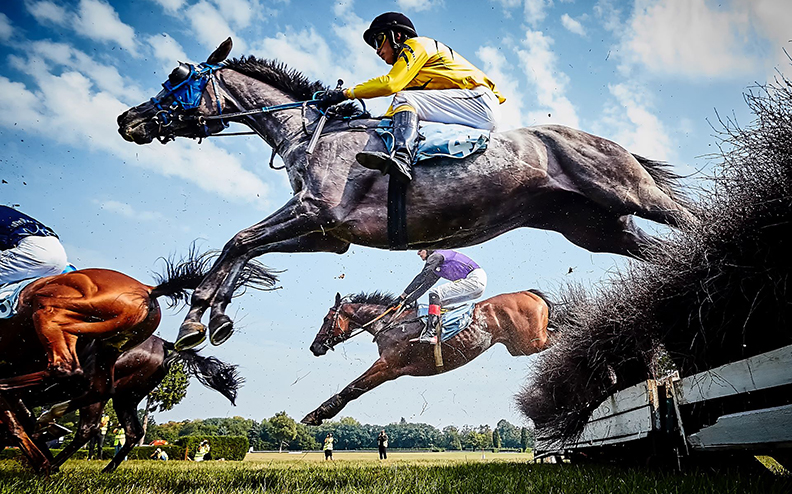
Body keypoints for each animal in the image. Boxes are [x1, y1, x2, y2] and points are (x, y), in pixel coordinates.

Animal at [37, 335, 242, 473]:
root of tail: (164, 345)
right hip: (126, 396)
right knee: (131, 431)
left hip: (111, 391)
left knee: (89, 426)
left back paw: (50, 461)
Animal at [117, 37, 696, 351]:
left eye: (176, 79)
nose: (127, 120)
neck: (311, 132)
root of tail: (605, 140)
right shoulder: (327, 234)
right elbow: (242, 247)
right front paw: (214, 317)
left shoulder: (314, 211)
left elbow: (239, 241)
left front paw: (197, 316)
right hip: (594, 228)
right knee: (657, 248)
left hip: (630, 194)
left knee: (688, 218)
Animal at [301, 290, 555, 425]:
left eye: (326, 319)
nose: (315, 347)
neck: (390, 324)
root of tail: (530, 294)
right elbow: (352, 388)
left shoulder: (387, 367)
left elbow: (352, 389)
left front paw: (315, 415)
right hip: (521, 345)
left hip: (530, 342)